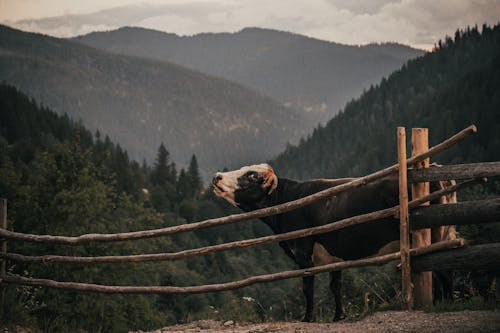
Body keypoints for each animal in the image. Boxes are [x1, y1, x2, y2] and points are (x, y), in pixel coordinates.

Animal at [213, 162, 456, 320]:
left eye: (252, 176)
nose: (217, 176)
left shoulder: (303, 252)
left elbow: (307, 286)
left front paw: (308, 318)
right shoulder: (333, 255)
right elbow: (335, 286)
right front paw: (339, 315)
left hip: (431, 234)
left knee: (443, 269)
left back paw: (447, 304)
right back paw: (443, 301)